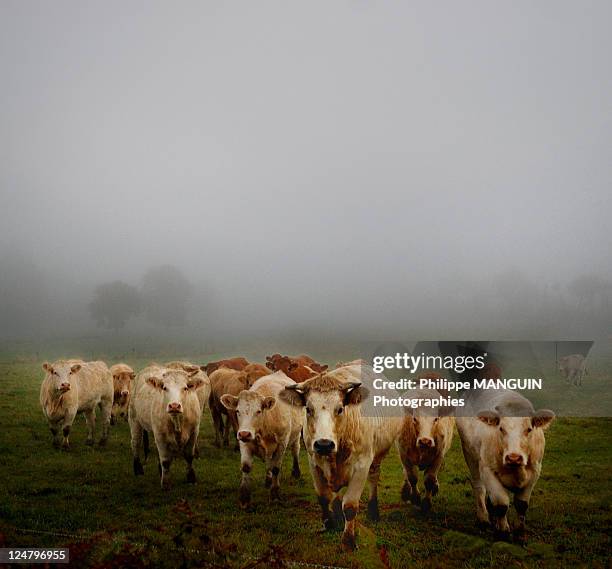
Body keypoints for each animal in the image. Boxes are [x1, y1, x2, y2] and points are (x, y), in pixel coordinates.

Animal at [221, 370, 304, 508]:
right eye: (237, 411)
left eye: (258, 411)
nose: (244, 434)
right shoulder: (244, 442)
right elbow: (246, 467)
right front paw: (244, 499)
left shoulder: (282, 443)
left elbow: (276, 468)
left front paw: (275, 495)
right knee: (269, 461)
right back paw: (268, 480)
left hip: (297, 434)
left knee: (295, 450)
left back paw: (296, 472)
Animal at [280, 366, 404, 548]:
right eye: (308, 409)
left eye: (339, 409)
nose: (324, 444)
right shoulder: (314, 463)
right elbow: (324, 497)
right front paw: (330, 523)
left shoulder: (362, 466)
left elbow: (350, 506)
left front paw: (348, 541)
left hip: (378, 456)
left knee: (374, 478)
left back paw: (373, 512)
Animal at [460, 390, 556, 540]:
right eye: (501, 428)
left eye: (529, 429)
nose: (514, 457)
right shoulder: (487, 470)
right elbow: (501, 503)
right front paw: (503, 532)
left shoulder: (535, 471)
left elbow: (521, 504)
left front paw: (520, 533)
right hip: (470, 454)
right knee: (479, 487)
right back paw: (483, 519)